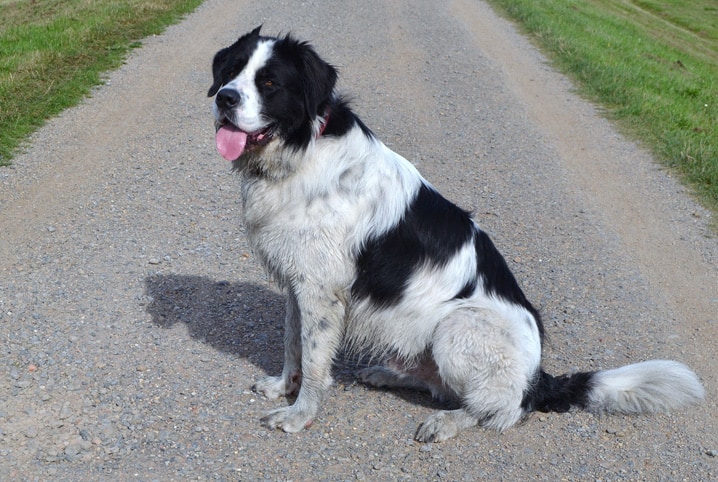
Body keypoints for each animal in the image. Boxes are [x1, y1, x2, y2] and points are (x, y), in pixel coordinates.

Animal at [207, 26, 704, 440]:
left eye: (270, 83)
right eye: (231, 72)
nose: (225, 99)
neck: (302, 148)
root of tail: (539, 377)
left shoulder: (320, 288)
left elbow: (313, 361)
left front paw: (300, 415)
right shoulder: (299, 281)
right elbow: (293, 343)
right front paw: (282, 387)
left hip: (457, 325)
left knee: (501, 409)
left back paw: (447, 421)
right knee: (443, 386)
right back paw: (388, 375)